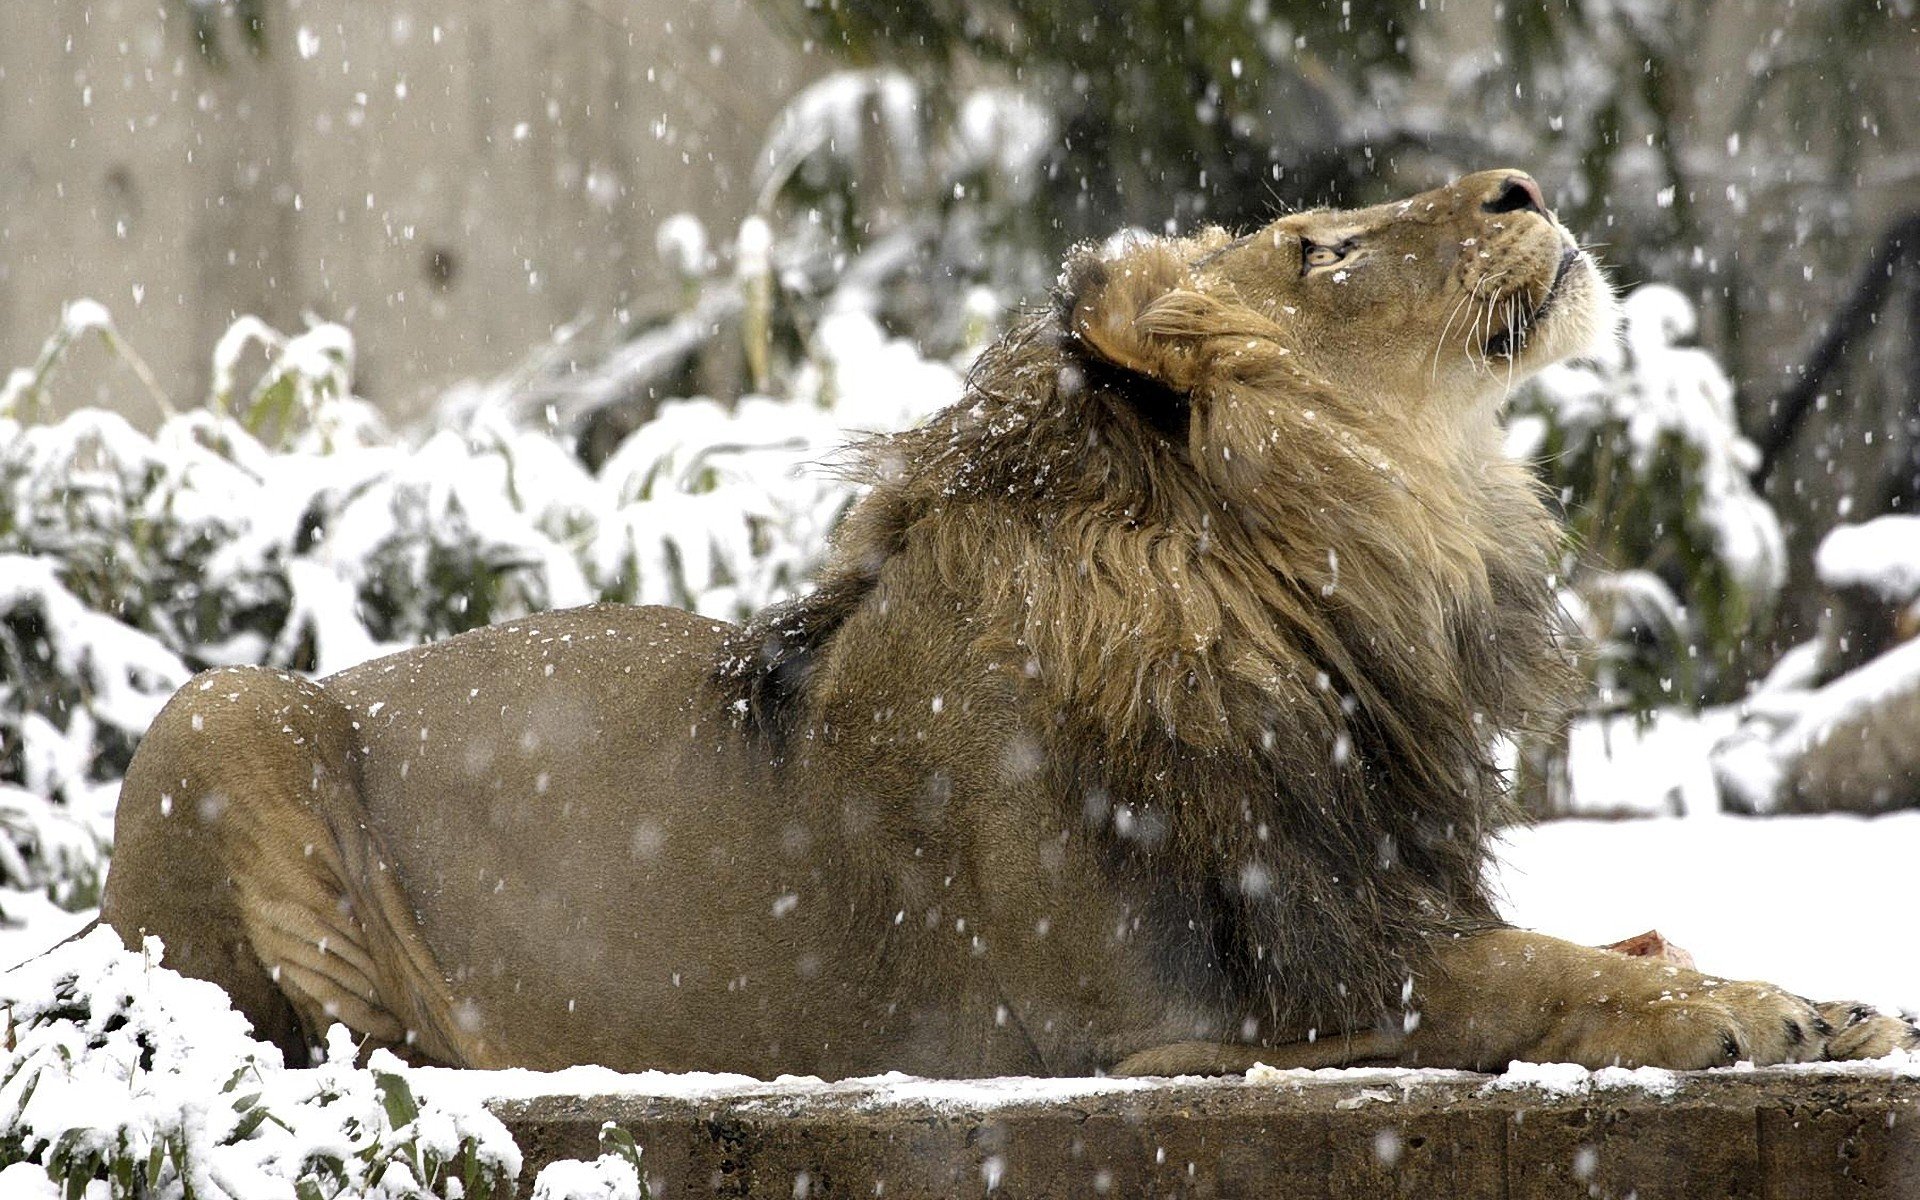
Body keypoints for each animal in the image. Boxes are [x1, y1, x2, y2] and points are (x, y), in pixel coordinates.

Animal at [101, 170, 1916, 1076]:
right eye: (1319, 246)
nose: (1524, 181)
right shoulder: (1192, 1014)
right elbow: (1549, 982)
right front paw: (1764, 1014)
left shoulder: (1360, 902)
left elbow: (1611, 944)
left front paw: (1810, 993)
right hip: (225, 708)